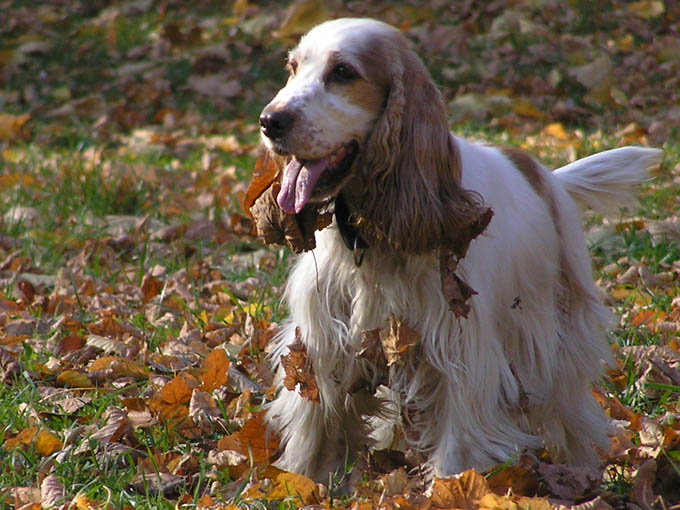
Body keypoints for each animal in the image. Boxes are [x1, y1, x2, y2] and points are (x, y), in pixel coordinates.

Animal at [254, 17, 660, 480]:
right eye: (293, 67)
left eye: (343, 72)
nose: (269, 121)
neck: (370, 233)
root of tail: (545, 174)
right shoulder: (325, 344)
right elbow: (316, 428)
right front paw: (301, 481)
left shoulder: (460, 349)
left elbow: (459, 438)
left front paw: (452, 484)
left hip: (554, 334)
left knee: (571, 410)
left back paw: (581, 471)